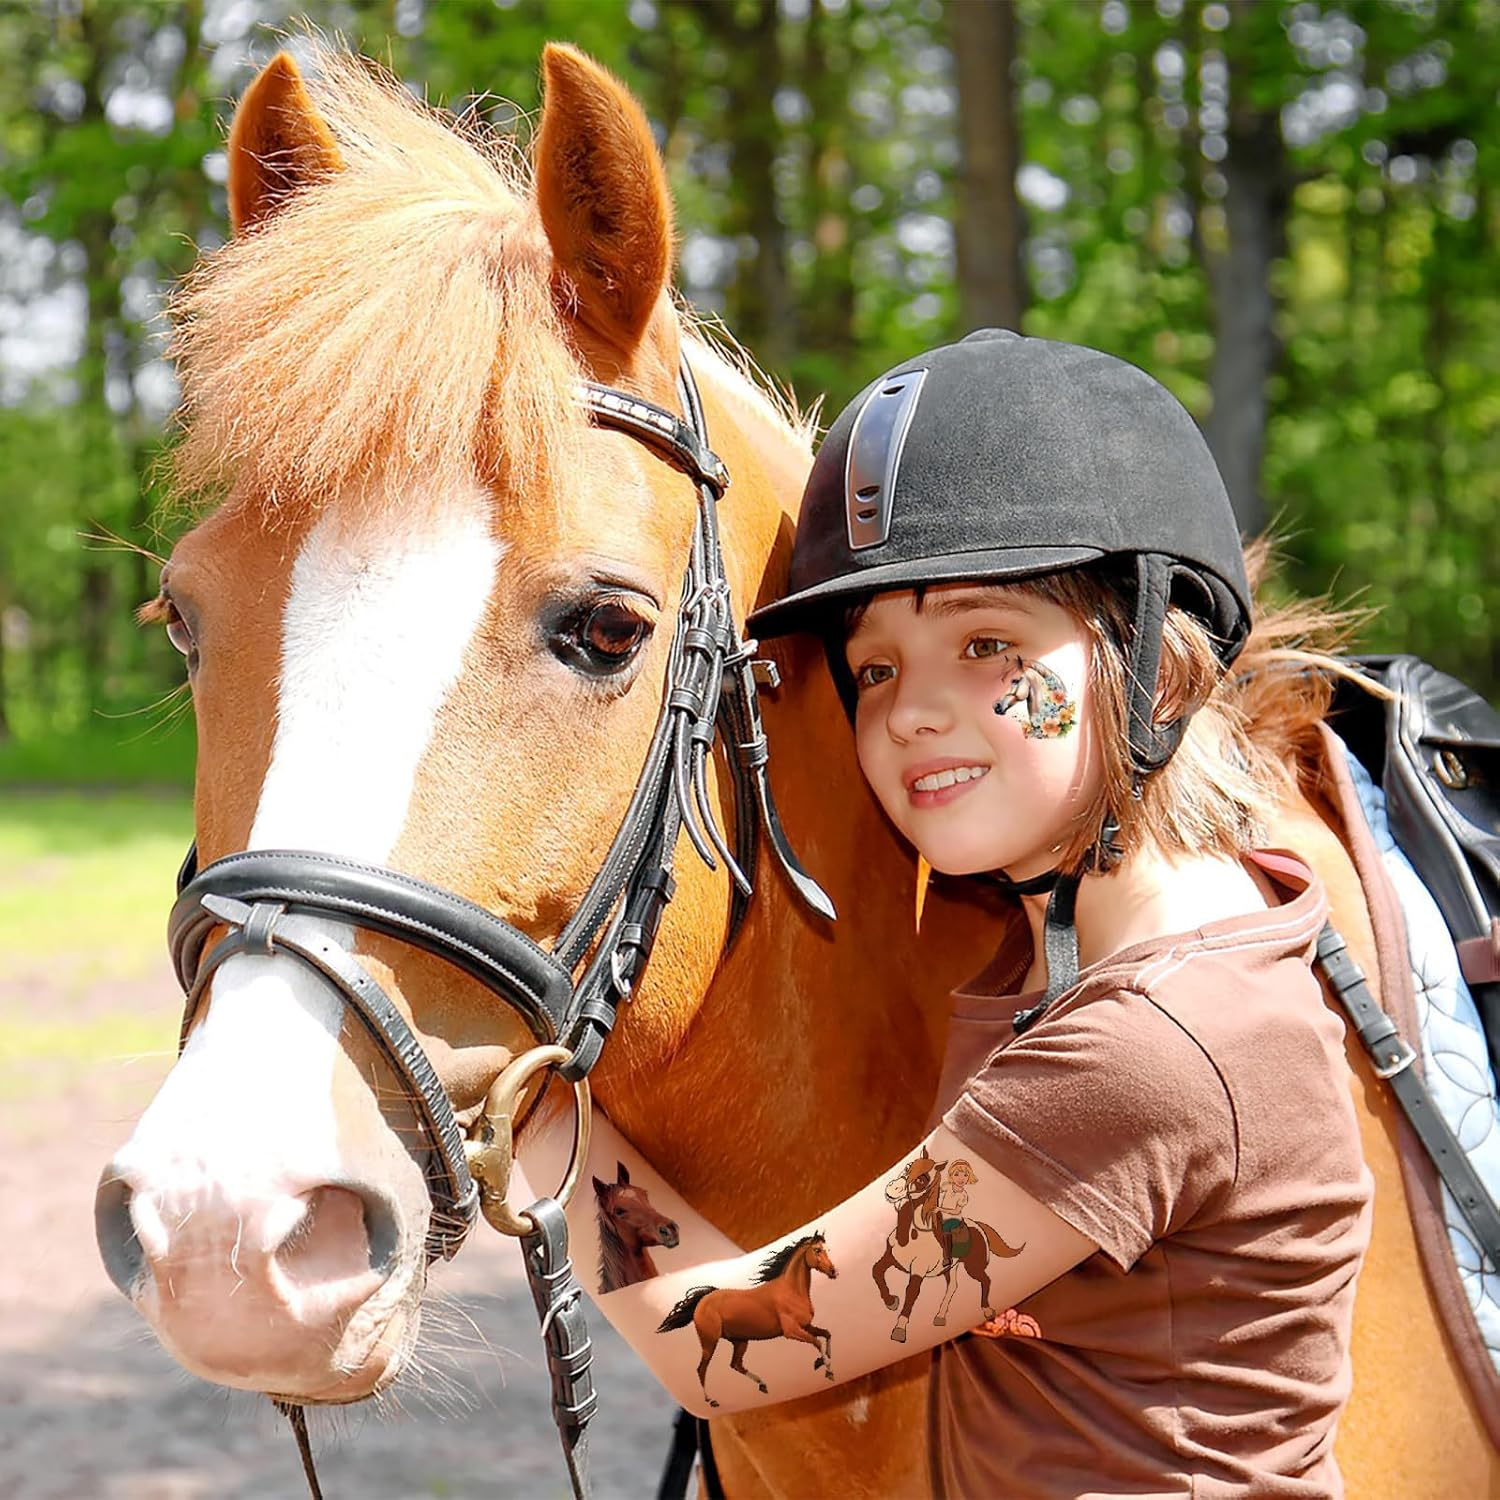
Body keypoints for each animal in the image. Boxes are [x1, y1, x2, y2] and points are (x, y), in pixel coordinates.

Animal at [657, 1233, 838, 1407]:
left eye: (827, 1249)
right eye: (817, 1250)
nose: (834, 1272)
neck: (790, 1290)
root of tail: (702, 1300)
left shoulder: (806, 1325)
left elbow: (826, 1334)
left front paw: (822, 1361)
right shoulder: (791, 1331)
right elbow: (816, 1342)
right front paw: (827, 1370)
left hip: (740, 1341)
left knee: (735, 1364)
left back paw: (762, 1385)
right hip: (709, 1342)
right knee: (701, 1369)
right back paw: (711, 1400)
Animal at [872, 1157, 1023, 1342]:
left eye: (922, 1179)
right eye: (908, 1166)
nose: (892, 1189)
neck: (910, 1236)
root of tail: (978, 1226)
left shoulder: (918, 1272)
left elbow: (911, 1294)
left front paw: (900, 1329)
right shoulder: (891, 1258)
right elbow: (877, 1271)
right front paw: (891, 1301)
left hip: (973, 1267)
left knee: (986, 1280)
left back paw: (987, 1310)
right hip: (950, 1268)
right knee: (953, 1286)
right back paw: (940, 1317)